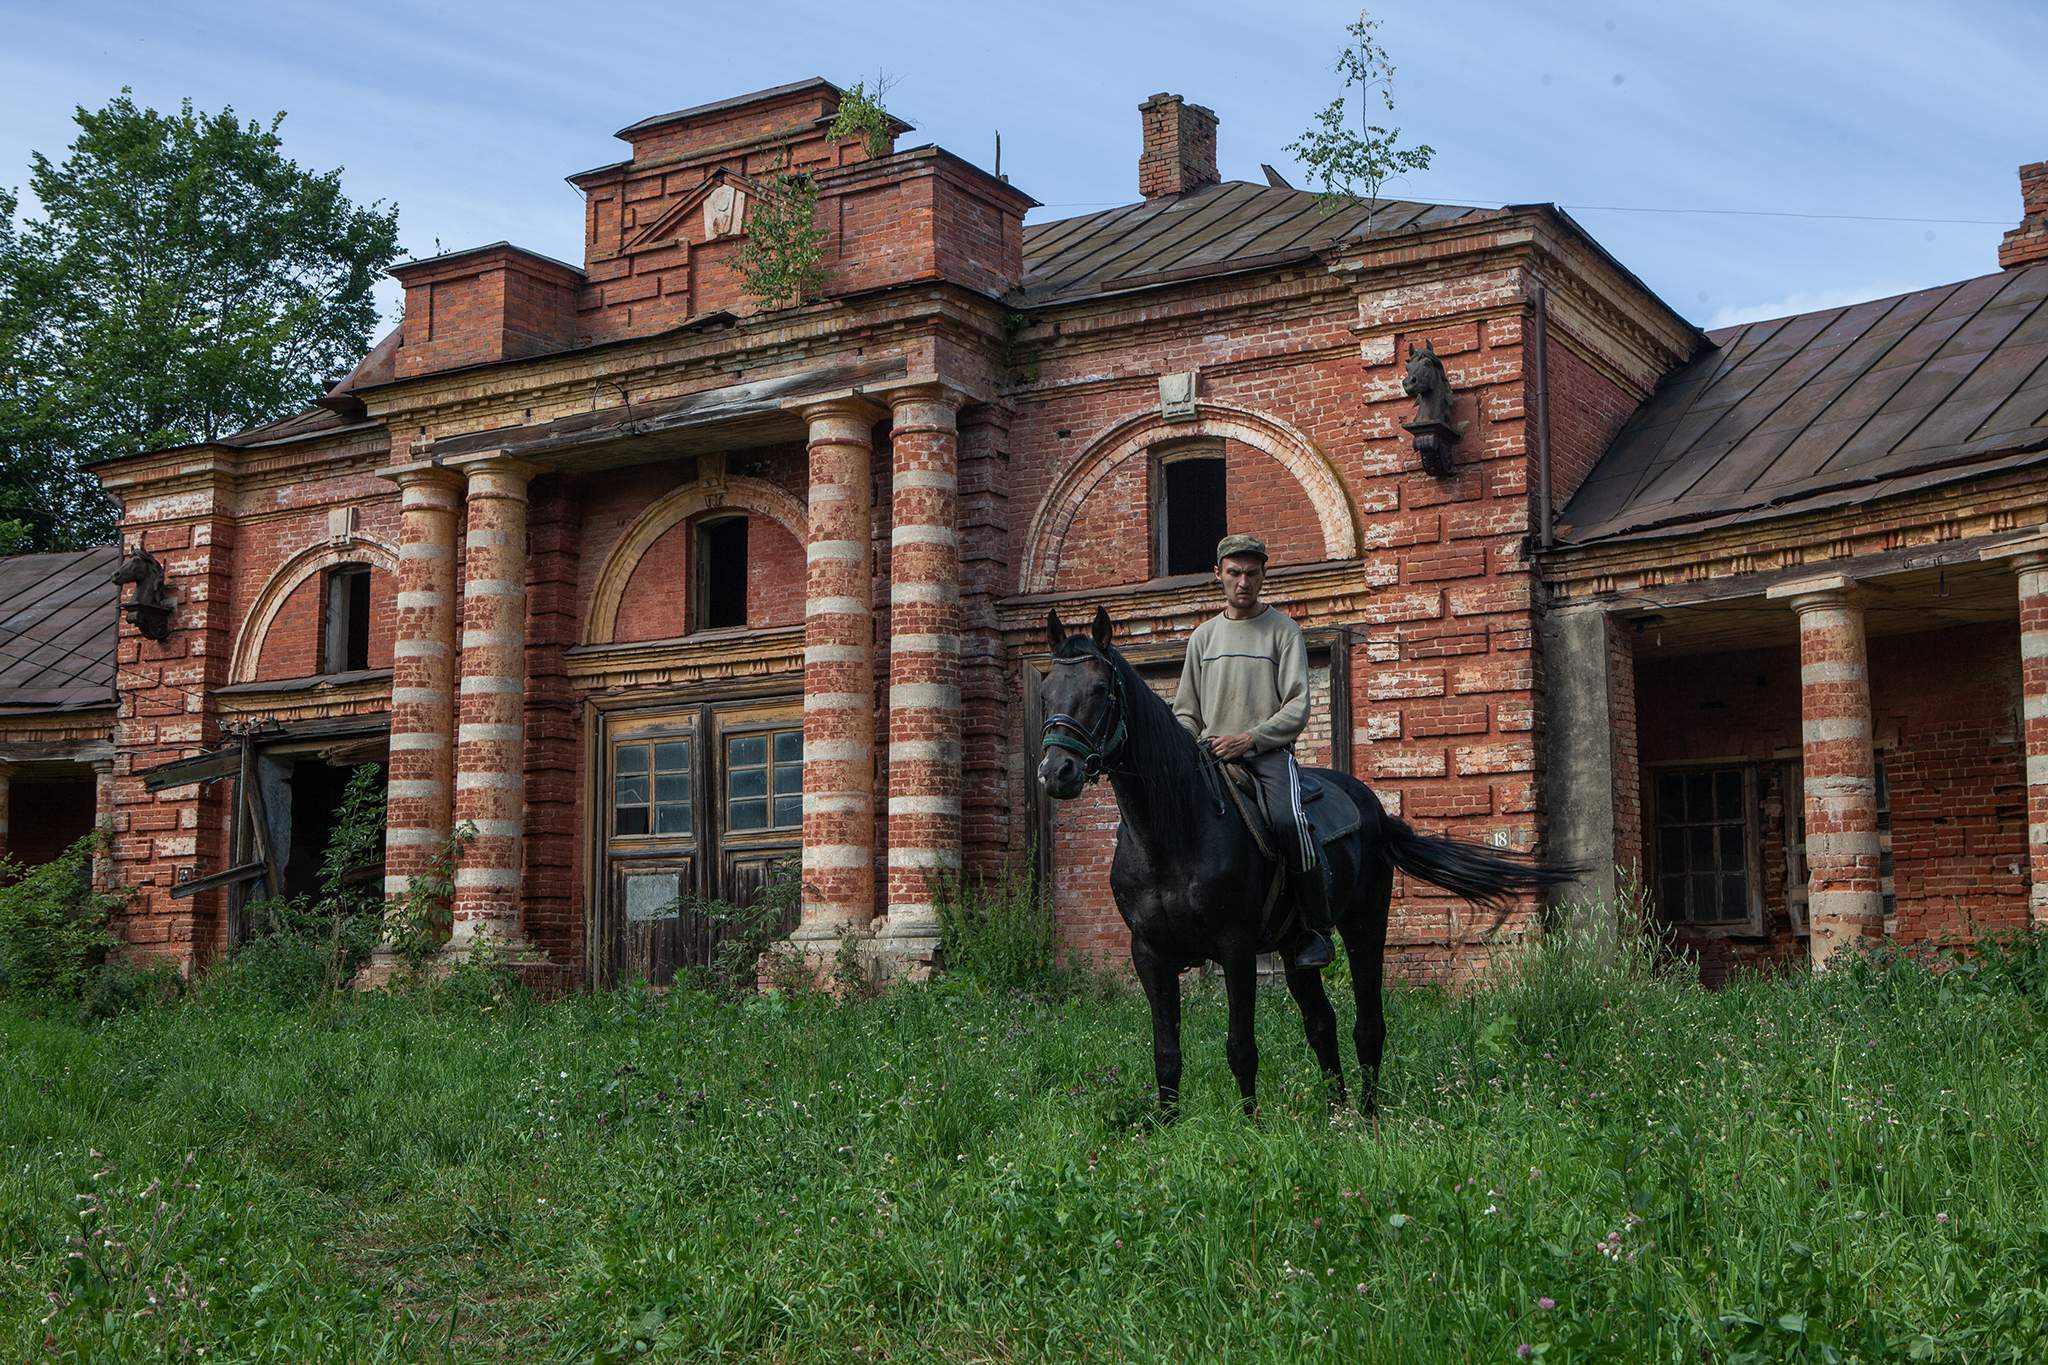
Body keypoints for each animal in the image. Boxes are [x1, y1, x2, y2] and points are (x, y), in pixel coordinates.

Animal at [1040, 609, 1564, 1121]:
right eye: (1047, 690)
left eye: (1101, 690)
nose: (1056, 772)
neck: (1171, 832)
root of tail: (1376, 812)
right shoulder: (1148, 953)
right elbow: (1166, 1053)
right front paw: (1166, 1130)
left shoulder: (1235, 948)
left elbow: (1241, 1047)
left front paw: (1250, 1128)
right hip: (1296, 947)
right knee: (1321, 1022)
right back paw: (1336, 1112)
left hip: (1364, 924)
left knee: (1367, 1023)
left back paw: (1367, 1116)